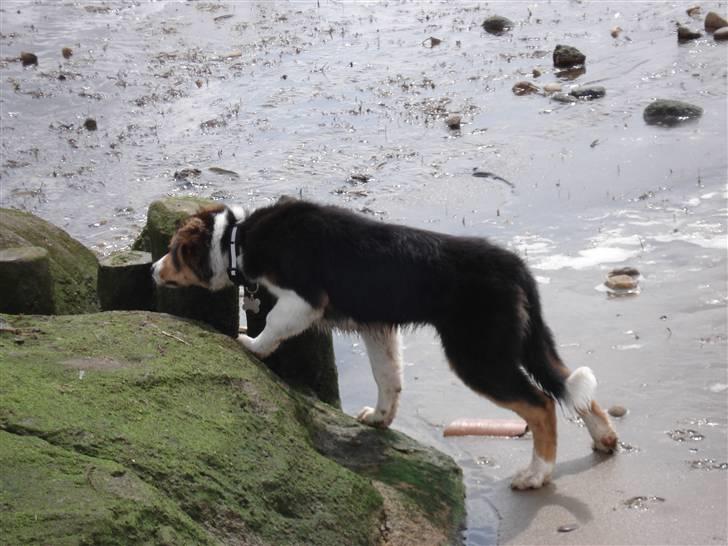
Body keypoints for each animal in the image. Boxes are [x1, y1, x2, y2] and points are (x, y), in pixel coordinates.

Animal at [151, 198, 616, 486]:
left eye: (173, 250)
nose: (154, 271)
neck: (239, 239)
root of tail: (515, 266)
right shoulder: (378, 327)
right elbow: (387, 376)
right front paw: (380, 417)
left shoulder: (305, 300)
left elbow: (274, 326)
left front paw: (249, 344)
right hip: (522, 342)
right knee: (572, 387)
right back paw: (604, 439)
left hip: (476, 355)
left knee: (541, 404)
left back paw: (537, 474)